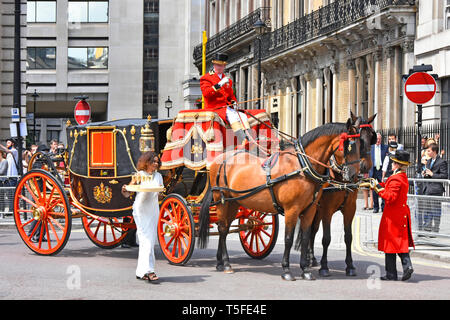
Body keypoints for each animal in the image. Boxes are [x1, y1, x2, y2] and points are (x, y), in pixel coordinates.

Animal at [199, 117, 364, 280]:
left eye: (360, 145)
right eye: (348, 146)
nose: (354, 176)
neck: (302, 166)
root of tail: (221, 158)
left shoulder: (310, 210)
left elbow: (305, 238)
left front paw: (306, 269)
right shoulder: (293, 209)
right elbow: (288, 239)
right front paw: (286, 270)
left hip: (233, 203)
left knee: (225, 228)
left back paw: (220, 262)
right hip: (222, 201)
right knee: (222, 229)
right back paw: (226, 263)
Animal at [306, 114, 376, 276]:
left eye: (371, 137)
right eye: (359, 139)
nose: (366, 166)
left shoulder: (350, 208)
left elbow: (348, 237)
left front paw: (350, 266)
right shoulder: (327, 209)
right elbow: (326, 238)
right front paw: (324, 267)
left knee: (312, 231)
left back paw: (311, 257)